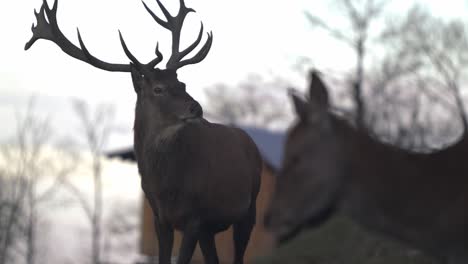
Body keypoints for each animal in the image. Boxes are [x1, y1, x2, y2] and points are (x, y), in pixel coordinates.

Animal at [26, 1, 264, 262]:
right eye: (158, 88)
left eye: (182, 84)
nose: (197, 108)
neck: (166, 187)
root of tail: (249, 141)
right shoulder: (162, 219)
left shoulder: (195, 217)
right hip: (210, 229)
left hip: (249, 208)